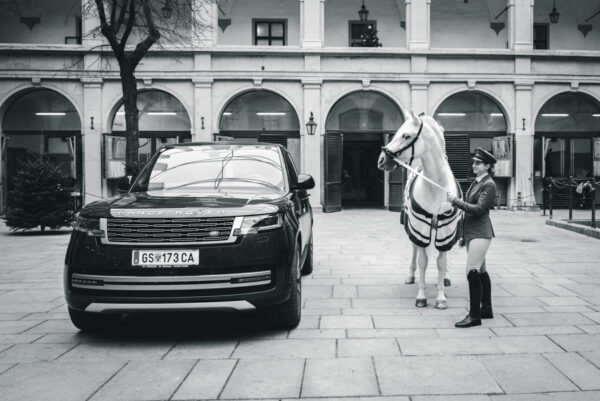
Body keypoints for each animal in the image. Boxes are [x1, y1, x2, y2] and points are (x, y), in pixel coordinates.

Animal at [378, 111, 462, 308]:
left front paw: (441, 296)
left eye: (406, 135)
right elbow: (422, 261)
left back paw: (445, 278)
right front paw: (422, 296)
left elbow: (441, 262)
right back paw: (411, 275)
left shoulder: (446, 229)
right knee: (415, 250)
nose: (381, 160)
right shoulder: (420, 227)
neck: (436, 186)